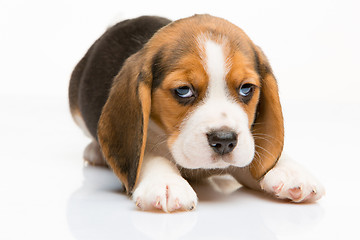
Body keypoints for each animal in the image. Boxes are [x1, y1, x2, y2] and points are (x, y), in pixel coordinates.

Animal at [69, 14, 324, 212]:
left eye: (246, 89)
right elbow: (149, 154)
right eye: (183, 90)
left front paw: (288, 170)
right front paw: (166, 183)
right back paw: (96, 151)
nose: (224, 141)